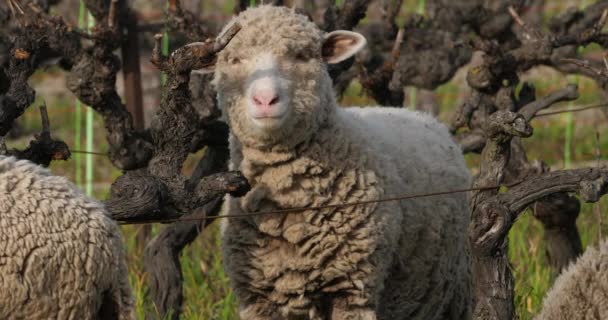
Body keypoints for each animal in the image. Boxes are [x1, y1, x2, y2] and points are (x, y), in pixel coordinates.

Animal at [204, 5, 476, 320]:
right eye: (233, 60)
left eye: (302, 56)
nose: (265, 99)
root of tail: (423, 116)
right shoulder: (257, 298)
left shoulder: (352, 289)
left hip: (451, 287)